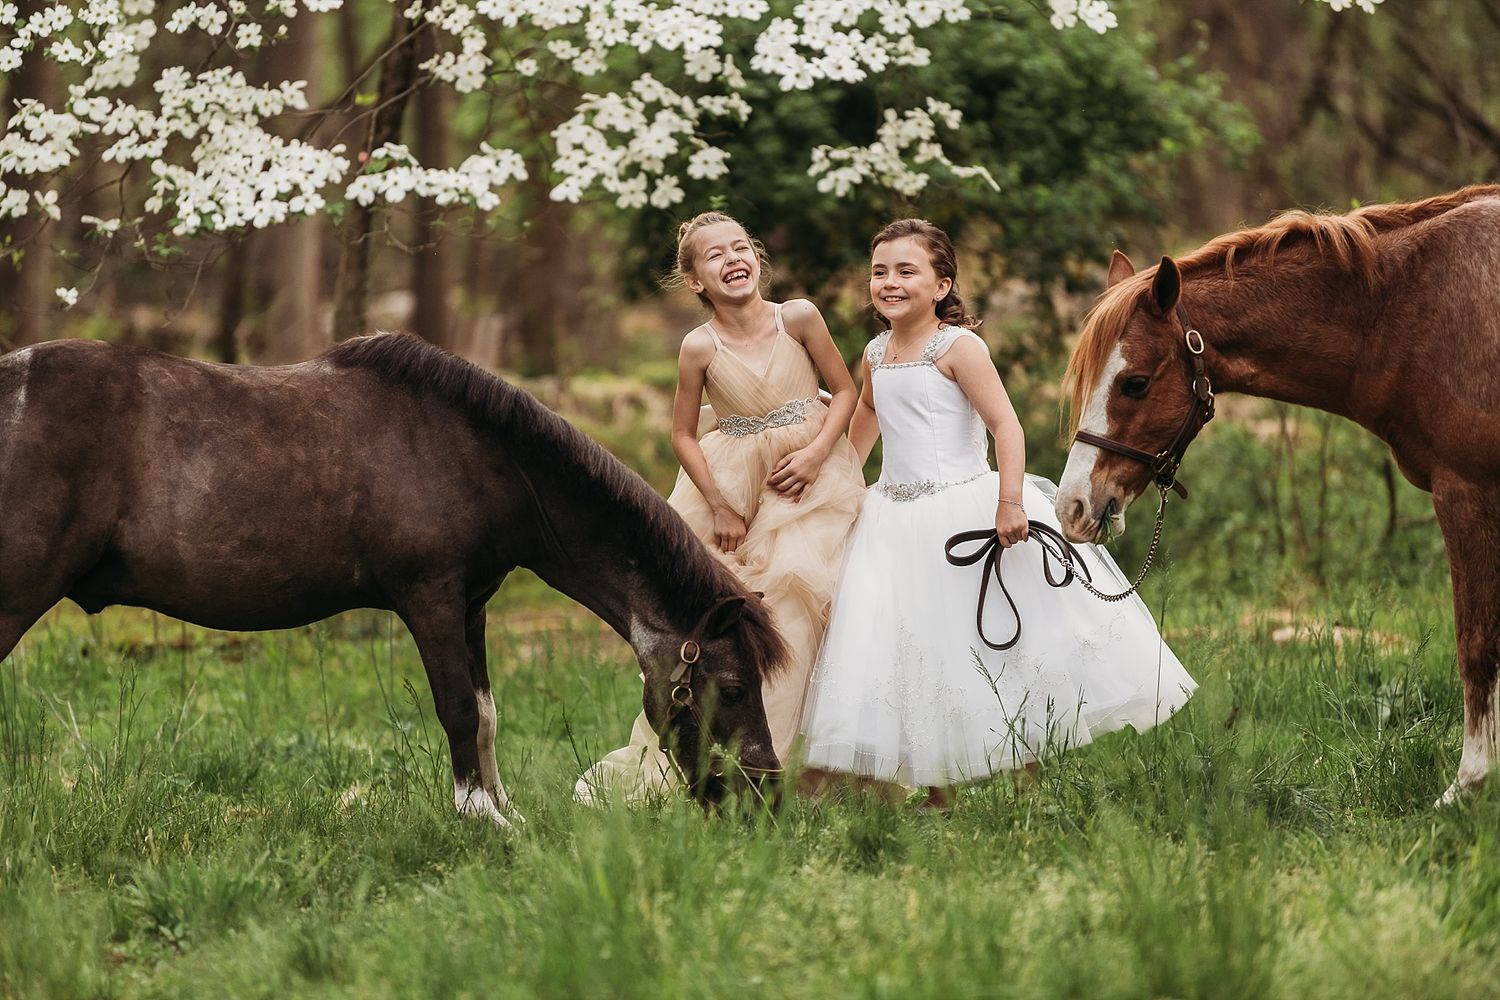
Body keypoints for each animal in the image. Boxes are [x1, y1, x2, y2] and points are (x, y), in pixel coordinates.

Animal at [0, 332, 788, 826]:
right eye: (734, 687)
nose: (767, 802)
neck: (479, 455)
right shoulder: (429, 599)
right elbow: (459, 710)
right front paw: (480, 820)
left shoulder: (471, 607)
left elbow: (487, 712)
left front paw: (503, 808)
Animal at [1054, 184, 1500, 807]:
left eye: (1134, 383)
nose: (1071, 506)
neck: (1407, 303)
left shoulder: (1466, 492)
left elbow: (1476, 645)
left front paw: (1469, 786)